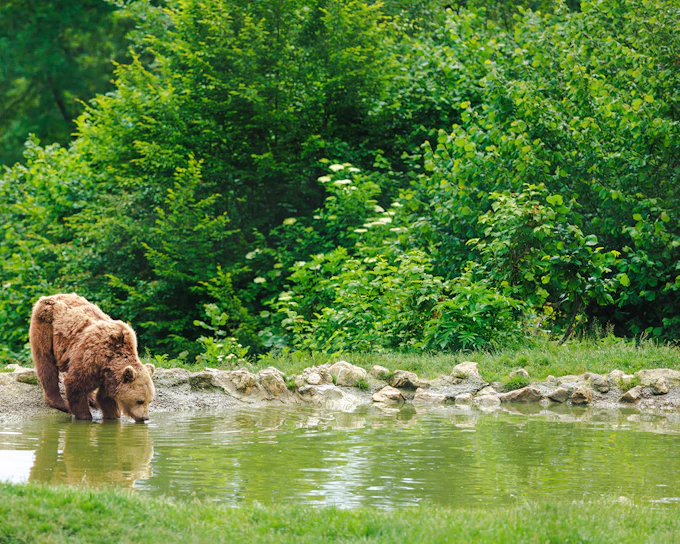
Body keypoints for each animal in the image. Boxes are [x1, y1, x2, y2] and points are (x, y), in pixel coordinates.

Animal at [29, 293, 155, 422]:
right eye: (140, 401)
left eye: (149, 400)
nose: (145, 418)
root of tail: (49, 296)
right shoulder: (91, 356)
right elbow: (75, 385)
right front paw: (85, 416)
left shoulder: (106, 374)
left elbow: (106, 397)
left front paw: (112, 415)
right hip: (46, 327)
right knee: (46, 363)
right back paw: (60, 403)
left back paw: (91, 399)